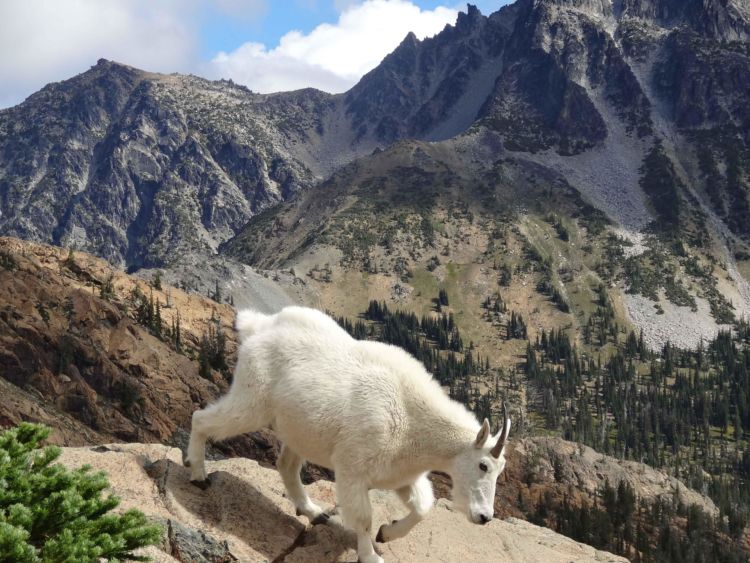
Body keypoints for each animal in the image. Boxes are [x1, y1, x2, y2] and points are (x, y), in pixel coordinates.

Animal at [186, 308, 516, 563]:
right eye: (483, 465)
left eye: (501, 470)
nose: (484, 517)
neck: (413, 420)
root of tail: (258, 327)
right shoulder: (353, 469)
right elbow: (363, 518)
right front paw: (370, 555)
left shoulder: (402, 475)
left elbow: (423, 507)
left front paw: (387, 532)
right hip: (251, 400)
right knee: (202, 418)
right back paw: (198, 474)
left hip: (299, 429)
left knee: (287, 465)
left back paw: (313, 511)